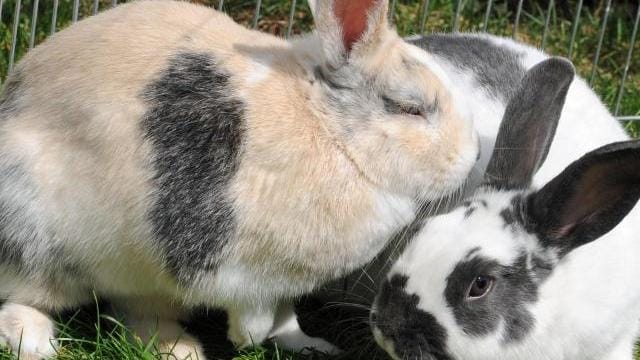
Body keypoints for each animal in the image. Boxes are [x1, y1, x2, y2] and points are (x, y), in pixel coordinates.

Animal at [0, 0, 480, 358]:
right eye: (409, 108)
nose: (473, 155)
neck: (329, 132)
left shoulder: (287, 282)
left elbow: (286, 318)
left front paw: (311, 345)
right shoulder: (237, 272)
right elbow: (255, 317)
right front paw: (246, 341)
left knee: (135, 312)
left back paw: (179, 349)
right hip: (36, 236)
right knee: (25, 296)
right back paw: (34, 342)